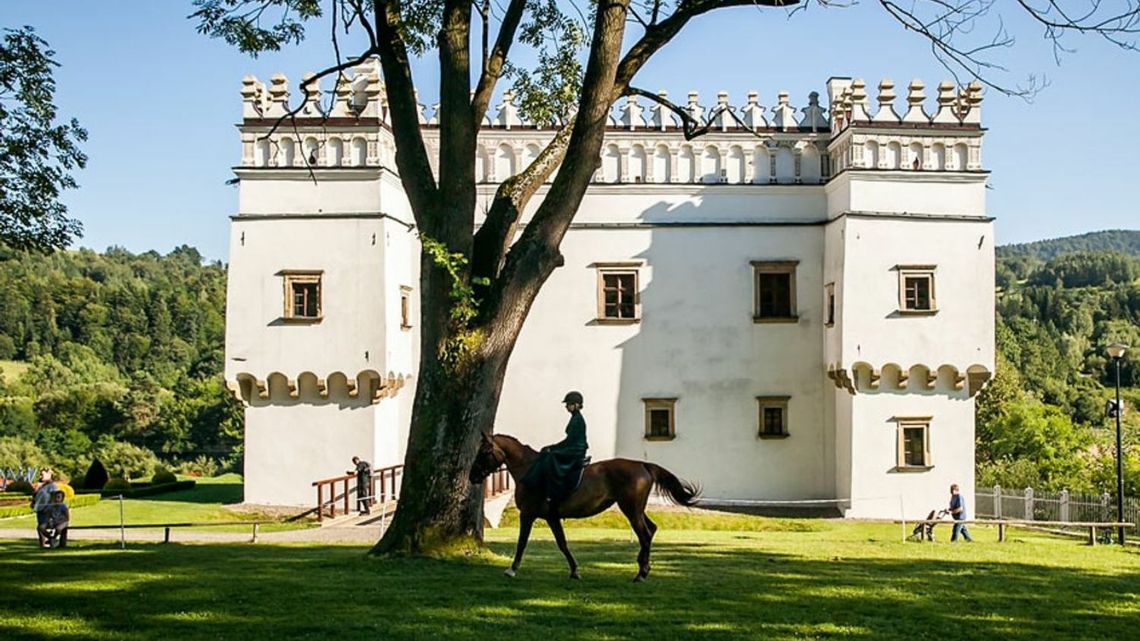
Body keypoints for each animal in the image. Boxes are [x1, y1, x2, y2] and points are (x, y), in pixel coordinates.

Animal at [467, 428, 697, 579]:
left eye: (484, 452)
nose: (472, 476)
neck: (530, 470)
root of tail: (642, 464)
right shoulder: (551, 517)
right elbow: (562, 543)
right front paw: (575, 571)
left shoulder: (528, 514)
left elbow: (522, 542)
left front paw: (512, 569)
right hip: (636, 509)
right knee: (651, 529)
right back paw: (642, 566)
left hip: (630, 509)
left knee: (645, 534)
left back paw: (641, 573)